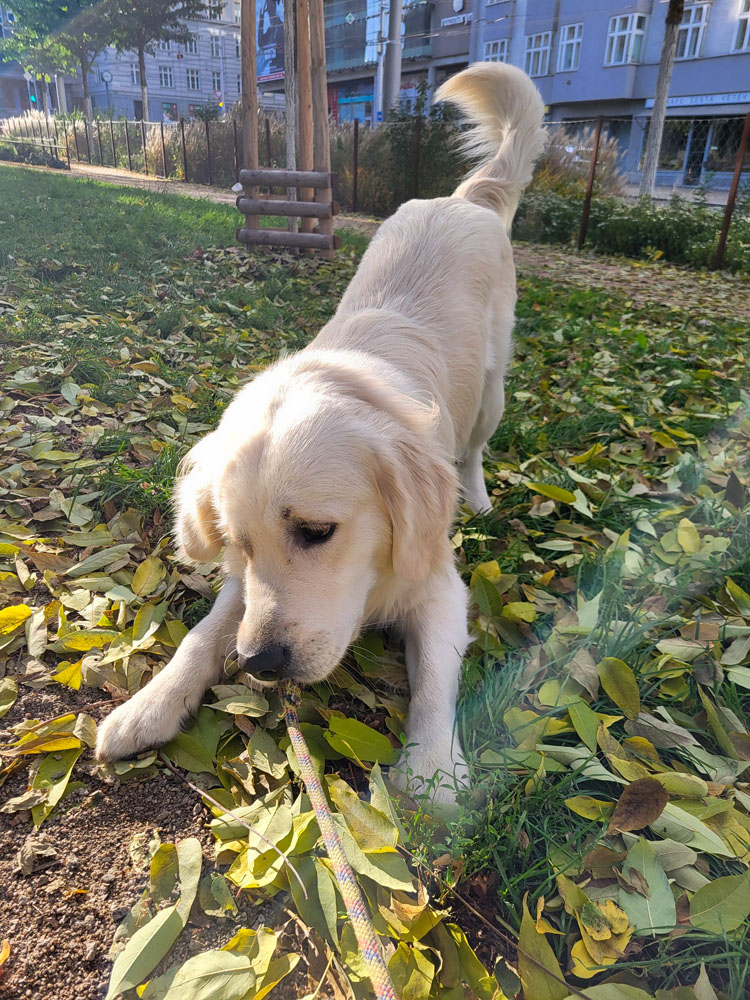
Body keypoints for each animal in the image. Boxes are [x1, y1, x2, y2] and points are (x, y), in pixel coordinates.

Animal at [95, 63, 546, 803]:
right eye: (238, 543)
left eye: (316, 531)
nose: (260, 661)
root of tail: (461, 200)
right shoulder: (243, 590)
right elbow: (201, 635)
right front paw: (148, 705)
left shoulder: (439, 586)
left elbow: (436, 685)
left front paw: (433, 772)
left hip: (492, 388)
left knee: (476, 447)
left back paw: (478, 497)